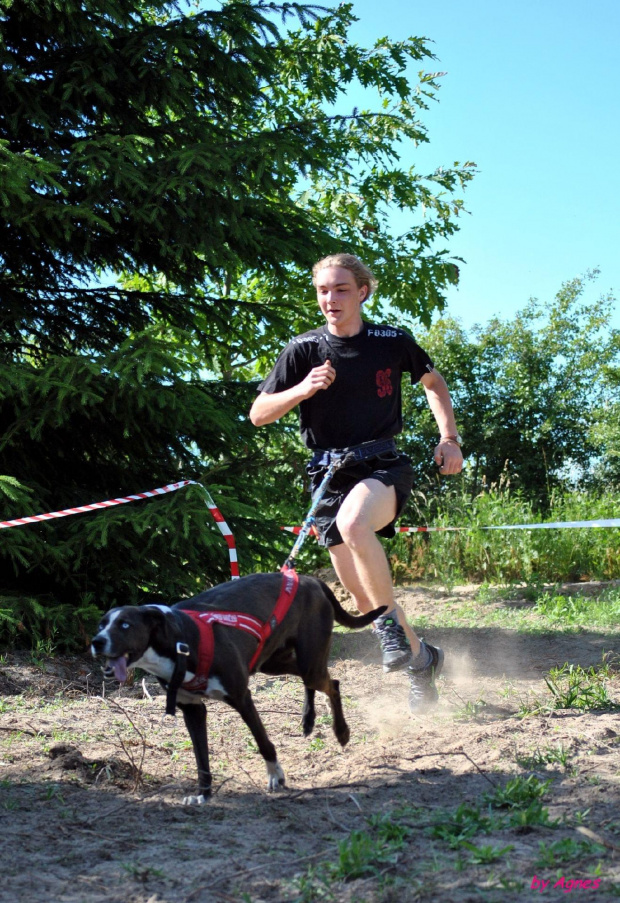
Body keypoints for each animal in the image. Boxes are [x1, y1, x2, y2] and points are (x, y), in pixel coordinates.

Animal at [91, 576, 382, 800]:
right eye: (101, 624)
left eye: (125, 625)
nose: (96, 641)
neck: (179, 642)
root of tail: (310, 579)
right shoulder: (193, 710)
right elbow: (201, 758)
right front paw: (203, 795)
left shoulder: (242, 697)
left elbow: (263, 742)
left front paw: (276, 776)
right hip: (275, 663)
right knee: (315, 681)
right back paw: (308, 719)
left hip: (309, 660)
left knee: (331, 684)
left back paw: (341, 732)